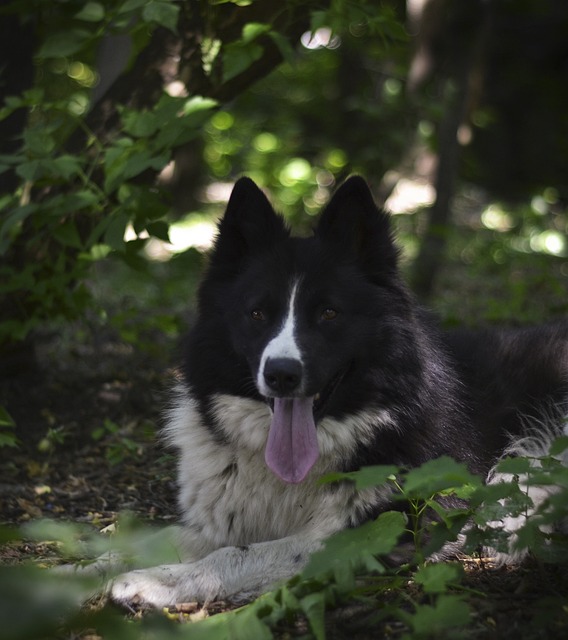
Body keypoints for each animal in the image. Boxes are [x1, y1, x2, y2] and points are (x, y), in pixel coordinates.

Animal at [110, 178, 568, 608]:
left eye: (328, 313)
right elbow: (153, 539)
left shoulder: (380, 527)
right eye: (257, 314)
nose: (281, 375)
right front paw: (100, 566)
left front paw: (157, 581)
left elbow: (239, 554)